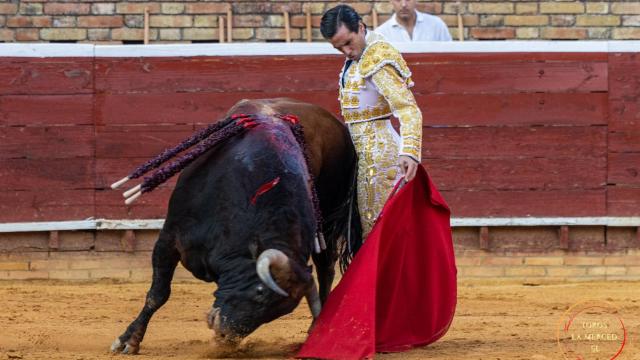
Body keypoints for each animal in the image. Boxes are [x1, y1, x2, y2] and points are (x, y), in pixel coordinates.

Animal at [112, 97, 362, 352]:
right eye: (260, 292)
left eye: (277, 312)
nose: (225, 334)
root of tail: (337, 124)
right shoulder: (169, 239)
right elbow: (158, 293)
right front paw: (128, 341)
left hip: (328, 220)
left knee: (326, 268)